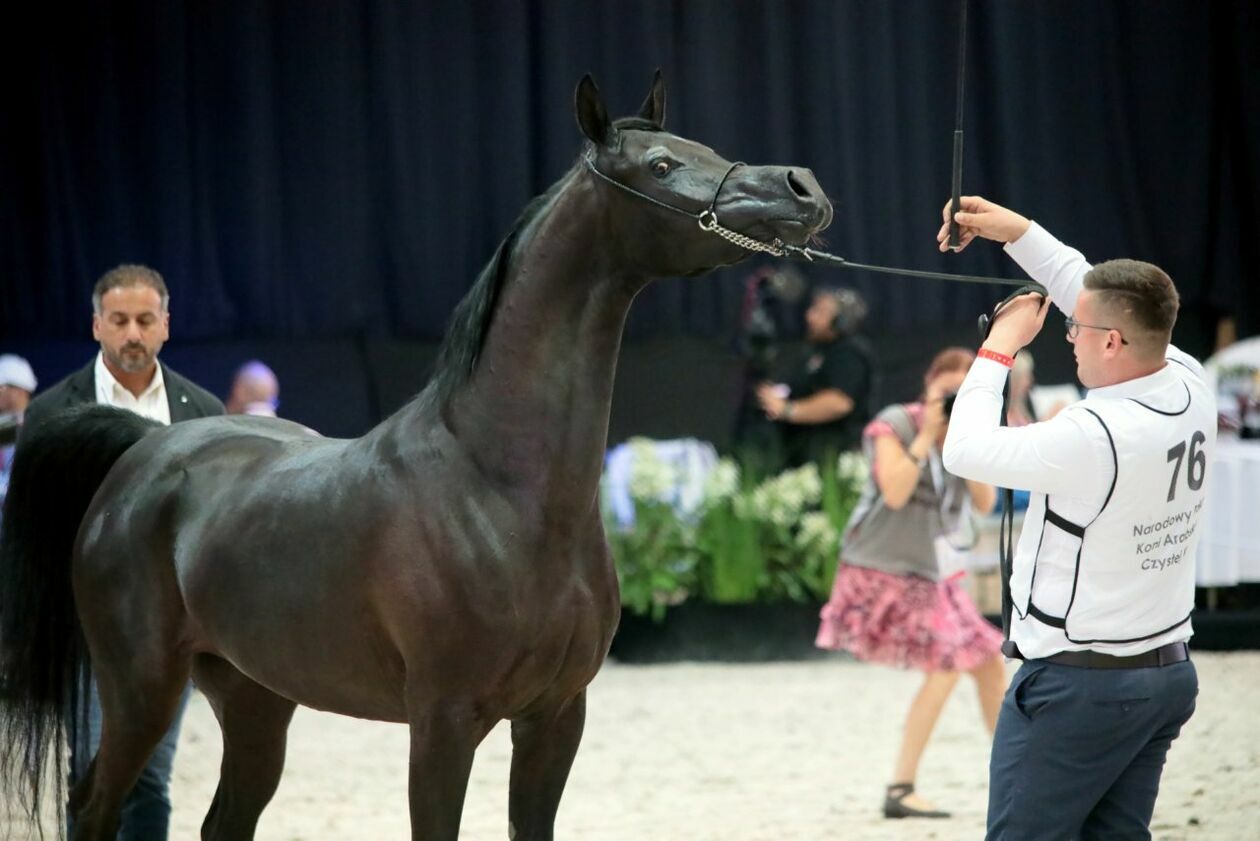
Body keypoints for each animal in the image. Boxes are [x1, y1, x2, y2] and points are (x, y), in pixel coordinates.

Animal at [0, 74, 831, 841]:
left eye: (707, 148)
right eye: (661, 165)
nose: (802, 186)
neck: (499, 491)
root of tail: (143, 451)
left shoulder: (556, 717)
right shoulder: (442, 722)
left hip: (255, 697)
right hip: (141, 688)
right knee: (93, 804)